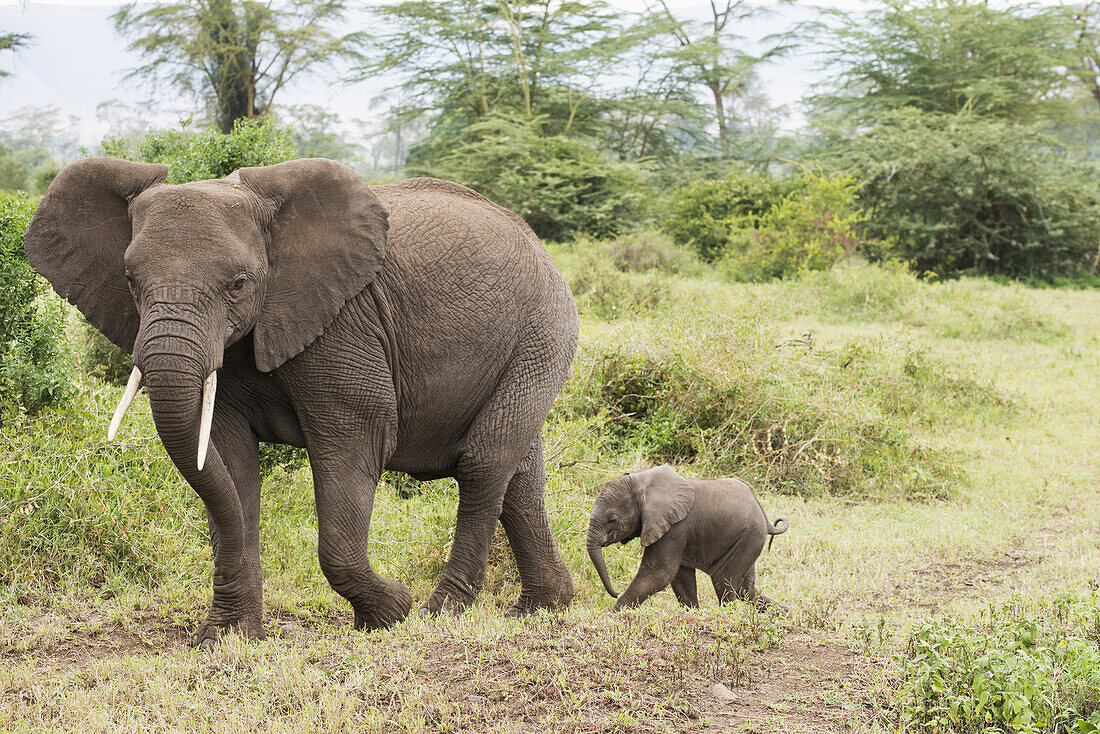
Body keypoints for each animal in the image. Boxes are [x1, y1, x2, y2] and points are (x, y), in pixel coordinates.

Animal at [23, 158, 576, 647]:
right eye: (130, 281)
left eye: (239, 284)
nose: (402, 602)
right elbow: (227, 458)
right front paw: (227, 639)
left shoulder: (344, 323)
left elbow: (356, 441)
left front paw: (389, 616)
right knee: (519, 476)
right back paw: (545, 607)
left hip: (542, 333)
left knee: (483, 463)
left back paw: (440, 613)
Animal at [589, 464, 787, 616]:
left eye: (612, 519)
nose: (615, 592)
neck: (642, 480)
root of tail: (763, 515)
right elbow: (680, 577)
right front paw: (693, 613)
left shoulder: (675, 528)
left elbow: (658, 573)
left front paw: (613, 615)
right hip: (748, 538)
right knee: (745, 589)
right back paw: (786, 613)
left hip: (749, 536)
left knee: (724, 581)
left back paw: (729, 615)